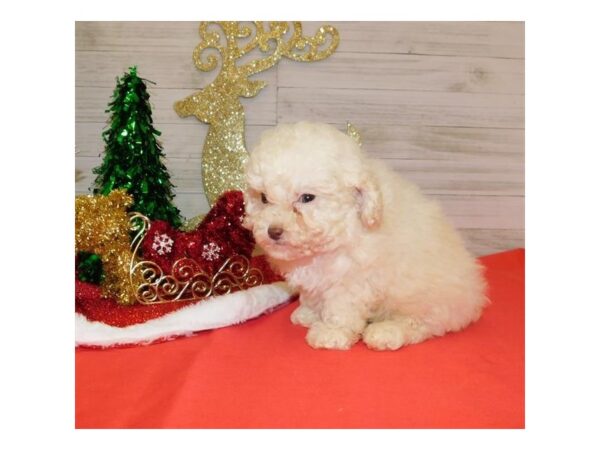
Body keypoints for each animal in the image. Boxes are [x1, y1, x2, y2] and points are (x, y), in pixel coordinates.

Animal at [244, 122, 488, 352]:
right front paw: (309, 313)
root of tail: (474, 295)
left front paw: (331, 333)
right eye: (263, 198)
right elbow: (313, 294)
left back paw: (386, 332)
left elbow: (341, 307)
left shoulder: (353, 279)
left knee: (423, 323)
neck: (347, 224)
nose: (273, 231)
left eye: (307, 198)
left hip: (427, 298)